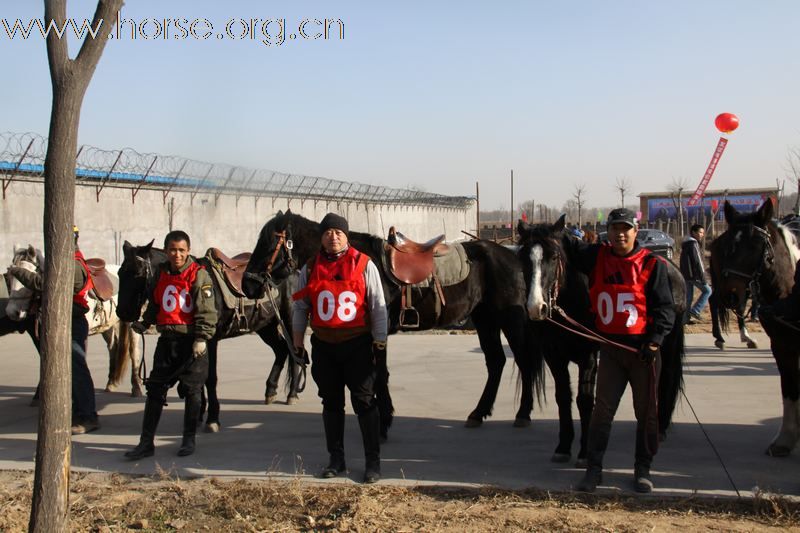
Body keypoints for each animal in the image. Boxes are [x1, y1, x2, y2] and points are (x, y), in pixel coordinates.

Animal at [5, 245, 144, 394]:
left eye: (30, 272)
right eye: (10, 276)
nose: (12, 312)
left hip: (130, 323)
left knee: (133, 350)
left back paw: (136, 386)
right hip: (108, 325)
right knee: (113, 347)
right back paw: (111, 383)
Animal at [117, 239, 304, 430]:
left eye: (138, 273)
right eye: (120, 273)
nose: (122, 312)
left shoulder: (210, 340)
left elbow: (210, 378)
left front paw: (213, 418)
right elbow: (198, 380)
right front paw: (200, 413)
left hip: (289, 319)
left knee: (296, 353)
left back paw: (292, 394)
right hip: (266, 325)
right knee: (282, 350)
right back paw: (270, 390)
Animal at [242, 210, 544, 426]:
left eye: (269, 242)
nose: (248, 284)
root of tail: (512, 256)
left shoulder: (379, 330)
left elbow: (379, 374)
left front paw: (384, 420)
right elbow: (377, 374)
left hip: (508, 321)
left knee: (523, 360)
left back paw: (522, 414)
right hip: (485, 320)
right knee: (496, 362)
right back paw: (478, 413)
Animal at [708, 202, 800, 456]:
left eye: (757, 246)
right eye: (728, 244)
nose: (730, 294)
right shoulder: (781, 344)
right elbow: (789, 387)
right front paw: (785, 440)